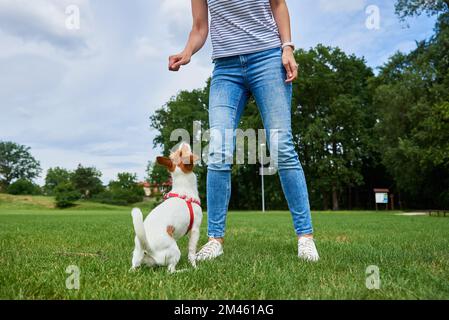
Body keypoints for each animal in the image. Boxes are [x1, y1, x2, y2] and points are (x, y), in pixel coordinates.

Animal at [130, 142, 202, 272]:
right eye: (182, 152)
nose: (183, 142)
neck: (183, 189)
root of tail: (147, 247)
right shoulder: (195, 229)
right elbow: (192, 252)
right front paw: (194, 267)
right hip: (175, 251)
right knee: (170, 270)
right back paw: (184, 270)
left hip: (135, 258)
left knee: (133, 267)